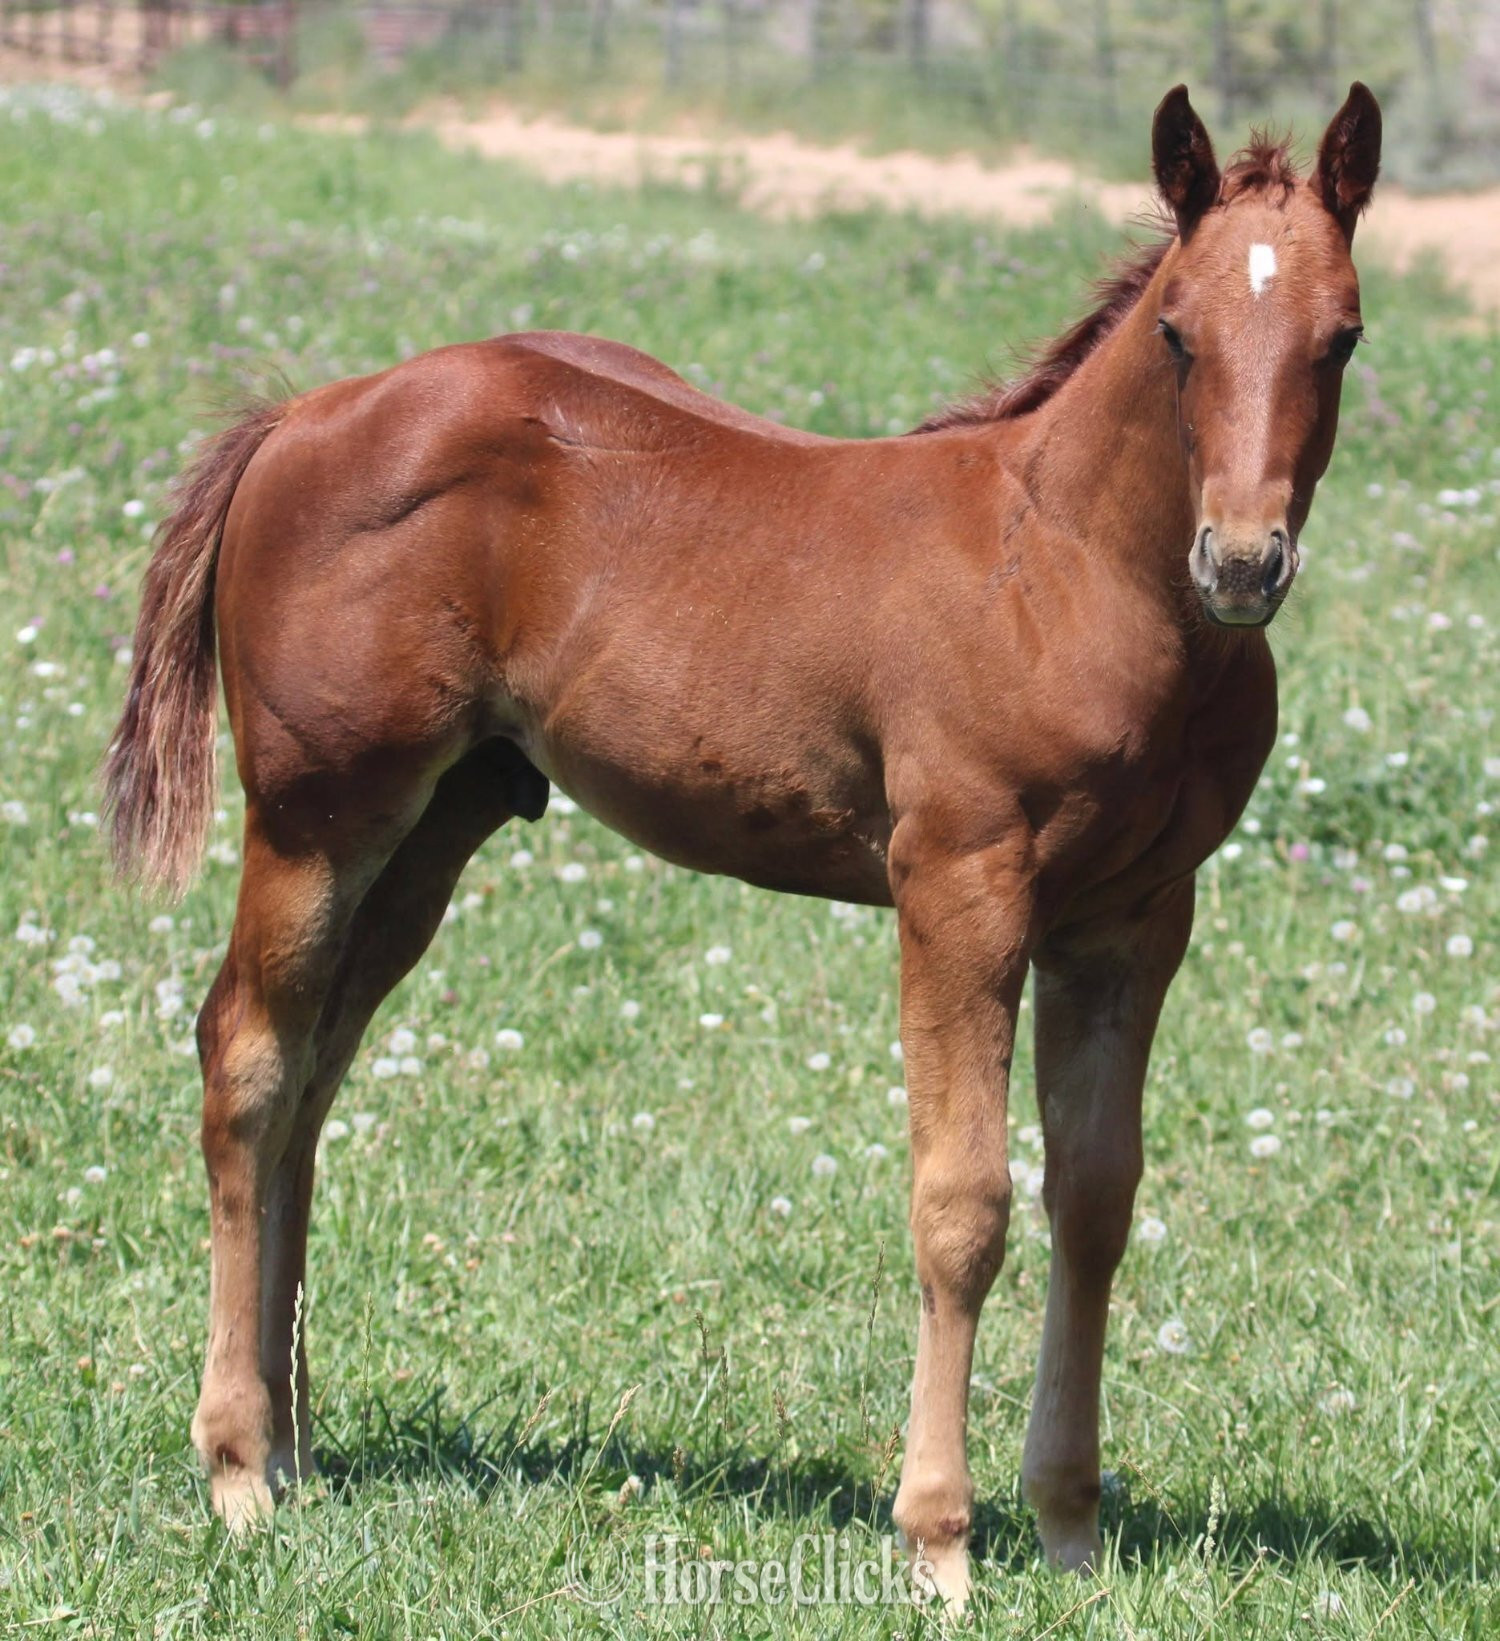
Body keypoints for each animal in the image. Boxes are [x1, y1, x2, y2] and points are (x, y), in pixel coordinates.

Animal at [105, 82, 1381, 1606]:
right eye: (1180, 331)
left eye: (1344, 334)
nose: (1241, 564)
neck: (1069, 568)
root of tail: (303, 414)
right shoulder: (960, 886)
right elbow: (964, 1204)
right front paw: (938, 1539)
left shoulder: (1134, 920)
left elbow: (1097, 1199)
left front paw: (1070, 1526)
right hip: (319, 810)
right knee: (245, 1056)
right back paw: (239, 1466)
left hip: (433, 827)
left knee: (314, 1070)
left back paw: (296, 1446)